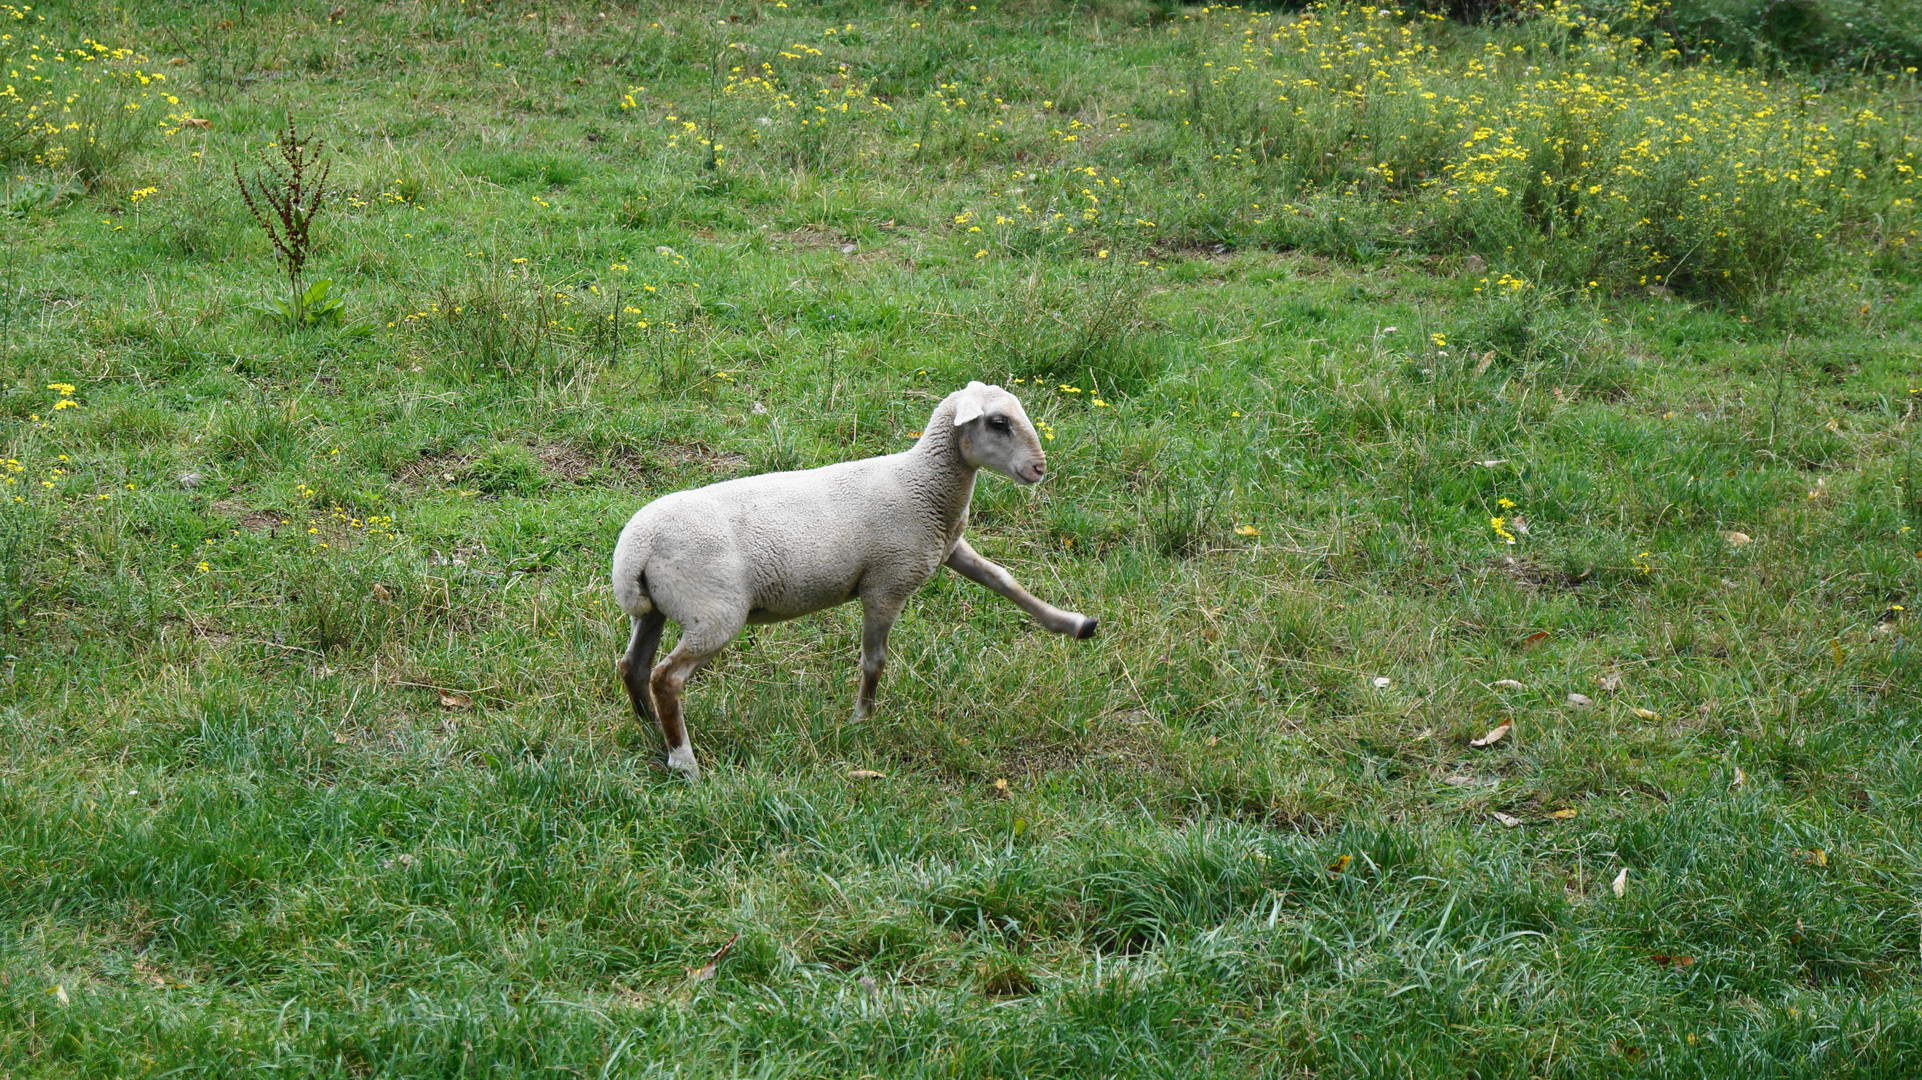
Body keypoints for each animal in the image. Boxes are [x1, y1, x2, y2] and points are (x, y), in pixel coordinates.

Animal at [615, 382, 1099, 776]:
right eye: (999, 423)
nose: (1039, 469)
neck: (924, 485)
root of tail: (634, 549)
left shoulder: (947, 550)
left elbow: (1004, 581)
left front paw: (1074, 624)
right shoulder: (887, 583)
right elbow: (874, 660)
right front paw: (861, 721)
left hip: (658, 609)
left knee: (634, 665)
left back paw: (650, 727)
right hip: (714, 613)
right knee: (666, 678)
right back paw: (685, 761)